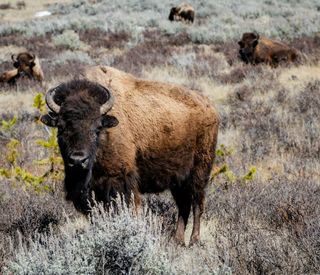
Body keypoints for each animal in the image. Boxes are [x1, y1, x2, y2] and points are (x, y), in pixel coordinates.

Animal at [40, 66, 219, 247]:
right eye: (61, 127)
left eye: (97, 128)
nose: (78, 160)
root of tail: (210, 107)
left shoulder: (120, 182)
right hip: (178, 180)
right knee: (184, 206)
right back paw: (177, 240)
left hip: (199, 172)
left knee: (197, 204)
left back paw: (194, 240)